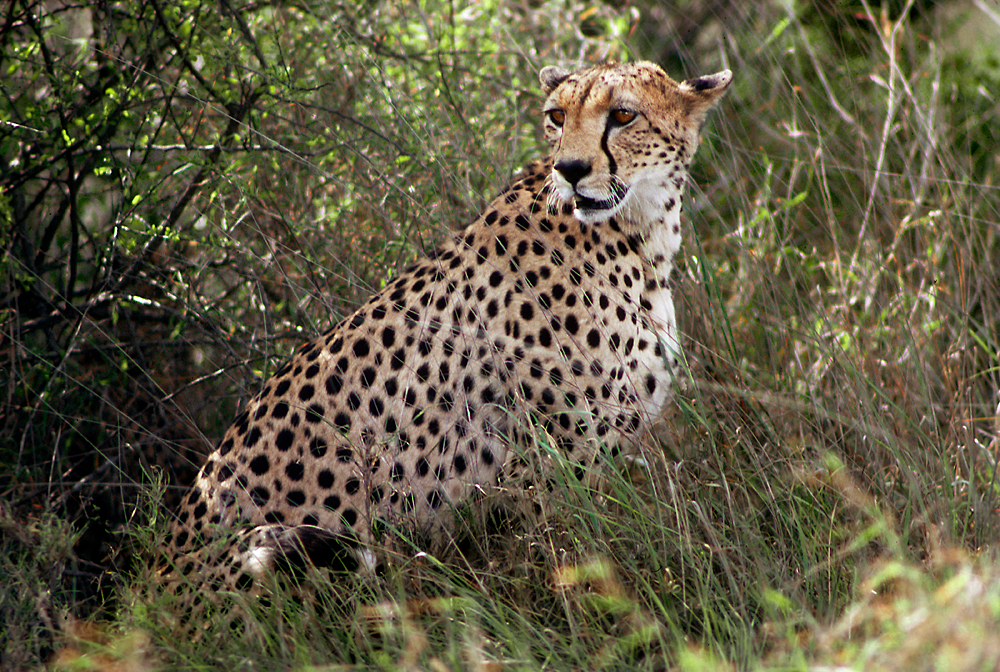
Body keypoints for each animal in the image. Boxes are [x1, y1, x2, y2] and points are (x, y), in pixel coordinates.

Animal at [168, 61, 732, 588]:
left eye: (623, 116)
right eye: (556, 116)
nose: (570, 169)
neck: (638, 231)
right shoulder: (546, 473)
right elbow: (569, 574)